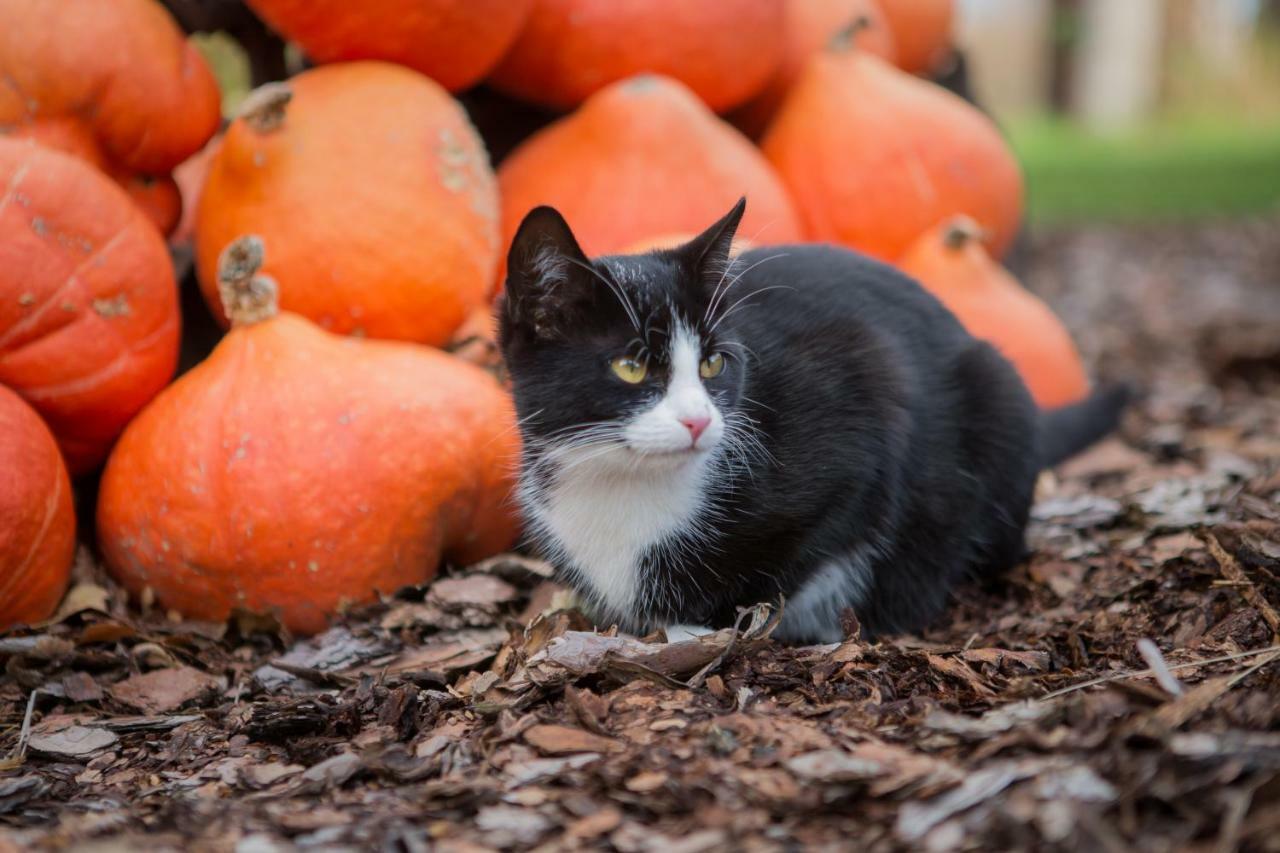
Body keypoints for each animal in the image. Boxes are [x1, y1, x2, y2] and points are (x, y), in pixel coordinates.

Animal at [494, 197, 1126, 637]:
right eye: (630, 367)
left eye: (714, 362)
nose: (699, 422)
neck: (622, 481)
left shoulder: (867, 384)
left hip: (998, 390)